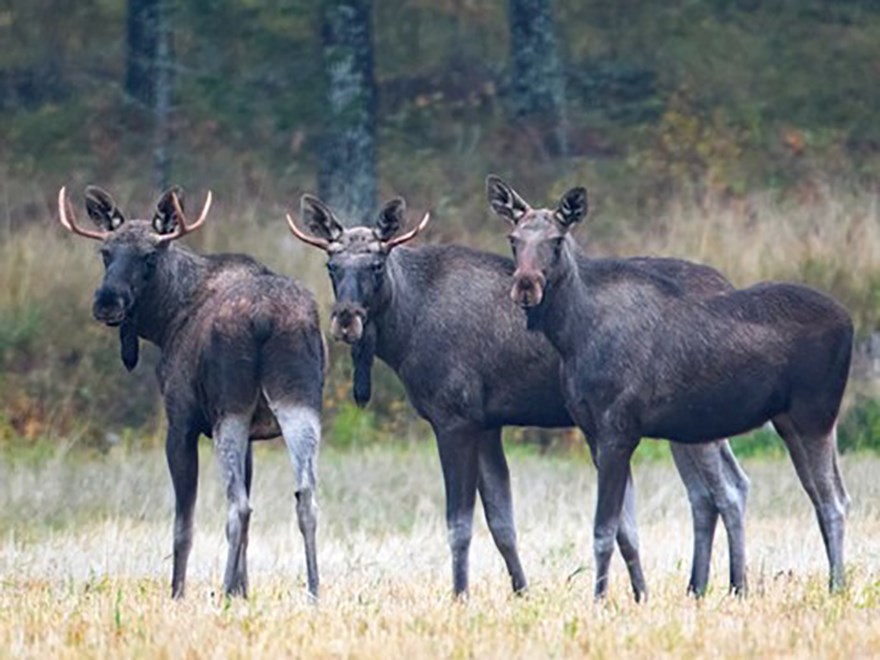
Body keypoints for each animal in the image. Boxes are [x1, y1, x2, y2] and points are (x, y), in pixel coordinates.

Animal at [59, 184, 326, 600]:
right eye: (105, 253)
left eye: (149, 256)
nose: (107, 302)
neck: (165, 322)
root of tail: (264, 318)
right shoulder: (252, 435)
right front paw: (241, 591)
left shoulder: (181, 422)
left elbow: (183, 525)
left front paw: (180, 593)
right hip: (299, 401)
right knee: (306, 496)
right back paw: (313, 590)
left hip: (229, 410)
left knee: (239, 506)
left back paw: (223, 590)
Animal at [288, 191, 748, 600]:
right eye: (331, 265)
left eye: (377, 264)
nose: (346, 320)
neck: (405, 329)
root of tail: (727, 281)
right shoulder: (488, 424)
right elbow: (502, 523)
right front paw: (523, 592)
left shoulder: (455, 419)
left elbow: (459, 525)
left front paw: (460, 595)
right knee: (707, 495)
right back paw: (698, 588)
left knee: (728, 490)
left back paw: (734, 587)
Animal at [488, 174, 852, 600]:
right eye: (513, 239)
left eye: (557, 240)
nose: (526, 286)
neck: (572, 336)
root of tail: (849, 322)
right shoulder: (595, 434)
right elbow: (625, 529)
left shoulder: (618, 431)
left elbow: (603, 530)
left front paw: (598, 600)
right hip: (788, 422)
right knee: (818, 496)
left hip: (815, 417)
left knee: (833, 500)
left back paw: (835, 586)